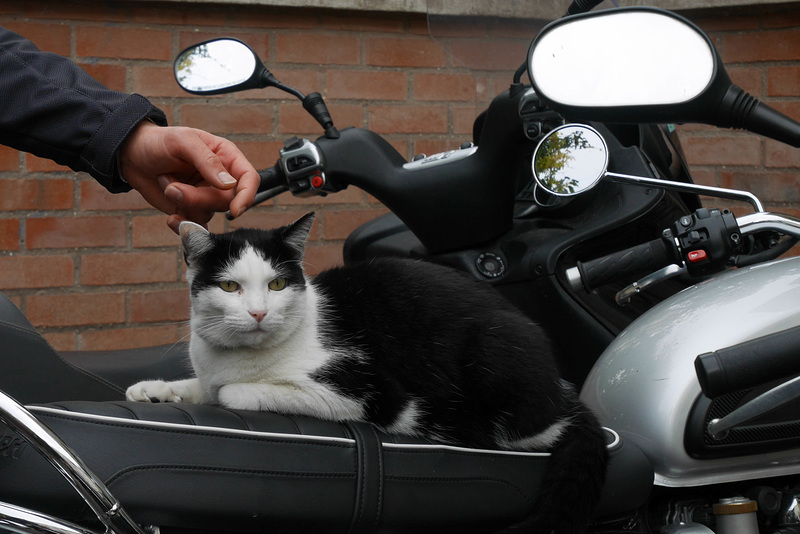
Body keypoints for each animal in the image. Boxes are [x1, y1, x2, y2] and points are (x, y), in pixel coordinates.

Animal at [126, 215, 608, 534]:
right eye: (230, 286)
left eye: (277, 284)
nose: (259, 313)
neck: (237, 356)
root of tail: (565, 396)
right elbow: (203, 388)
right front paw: (153, 389)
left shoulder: (365, 390)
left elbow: (230, 393)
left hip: (490, 360)